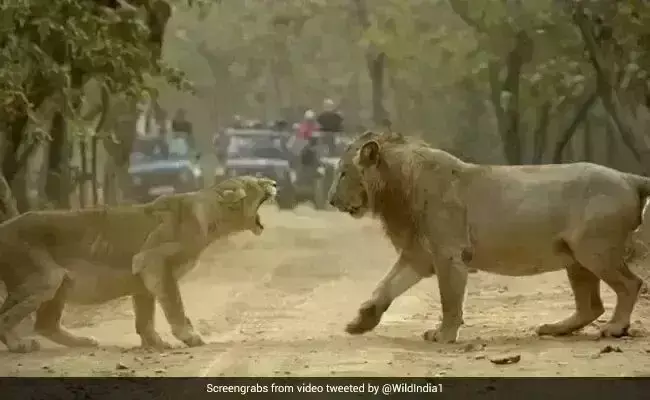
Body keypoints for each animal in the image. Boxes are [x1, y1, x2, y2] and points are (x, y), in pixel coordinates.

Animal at [0, 177, 276, 352]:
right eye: (257, 182)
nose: (274, 183)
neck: (211, 217)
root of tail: (5, 226)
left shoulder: (143, 278)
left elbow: (145, 318)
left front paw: (156, 344)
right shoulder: (152, 260)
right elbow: (175, 305)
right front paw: (189, 337)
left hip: (59, 283)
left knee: (45, 324)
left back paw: (84, 342)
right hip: (46, 278)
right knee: (8, 317)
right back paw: (19, 345)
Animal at [330, 131, 648, 344]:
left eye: (343, 173)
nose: (331, 200)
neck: (395, 190)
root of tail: (628, 177)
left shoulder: (449, 255)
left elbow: (449, 300)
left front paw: (444, 335)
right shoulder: (418, 256)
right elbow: (384, 287)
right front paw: (359, 323)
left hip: (594, 251)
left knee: (631, 284)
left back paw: (615, 328)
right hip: (576, 259)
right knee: (591, 306)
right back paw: (554, 328)